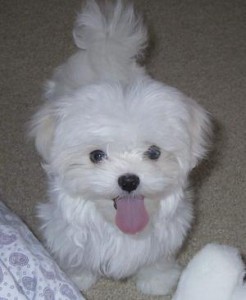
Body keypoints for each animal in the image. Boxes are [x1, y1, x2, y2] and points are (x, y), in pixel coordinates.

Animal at [29, 0, 211, 296]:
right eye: (96, 156)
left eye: (154, 152)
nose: (128, 180)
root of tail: (104, 44)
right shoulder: (66, 231)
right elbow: (76, 255)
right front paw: (76, 279)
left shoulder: (166, 233)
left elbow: (157, 258)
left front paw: (157, 282)